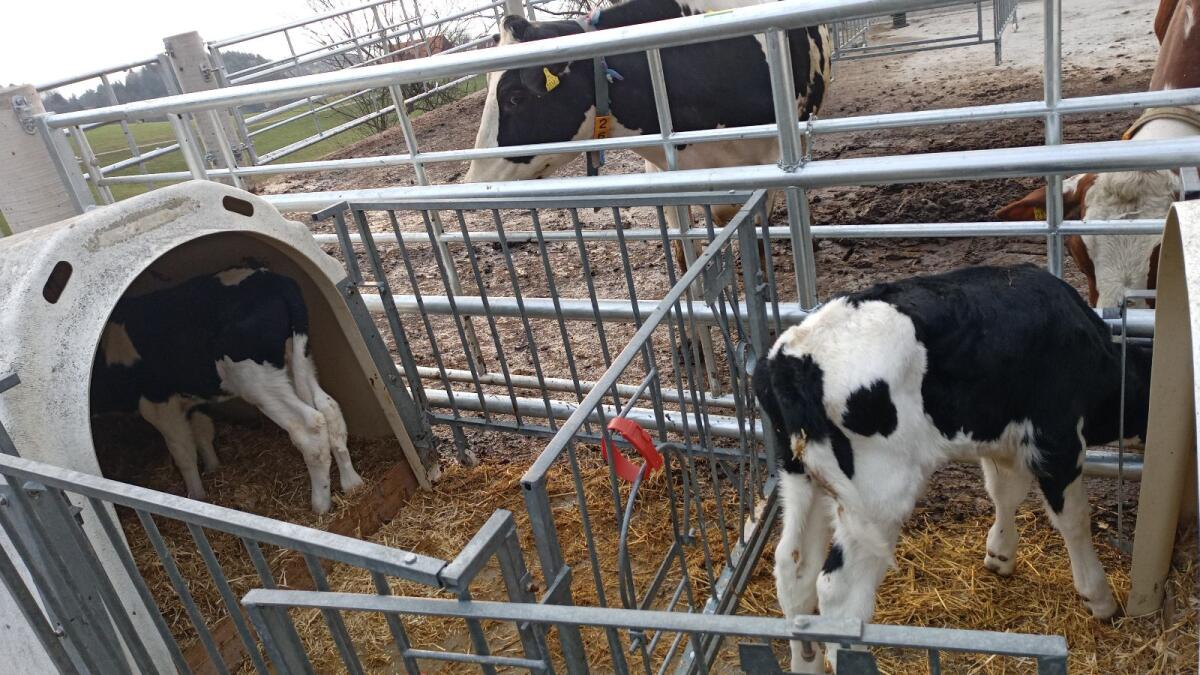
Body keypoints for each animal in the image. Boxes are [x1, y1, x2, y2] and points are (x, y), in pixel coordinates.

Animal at [91, 268, 364, 514]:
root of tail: (276, 281)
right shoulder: (193, 398)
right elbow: (203, 432)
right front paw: (213, 467)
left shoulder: (158, 403)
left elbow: (183, 452)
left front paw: (196, 496)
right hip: (299, 361)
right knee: (329, 408)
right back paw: (352, 484)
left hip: (258, 381)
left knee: (309, 426)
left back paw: (320, 504)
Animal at [753, 265, 1152, 673]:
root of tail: (793, 358)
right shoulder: (1057, 440)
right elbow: (1073, 520)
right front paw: (1098, 596)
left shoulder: (1001, 437)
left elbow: (1004, 493)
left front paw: (1000, 553)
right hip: (878, 496)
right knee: (839, 594)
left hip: (802, 478)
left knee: (793, 572)